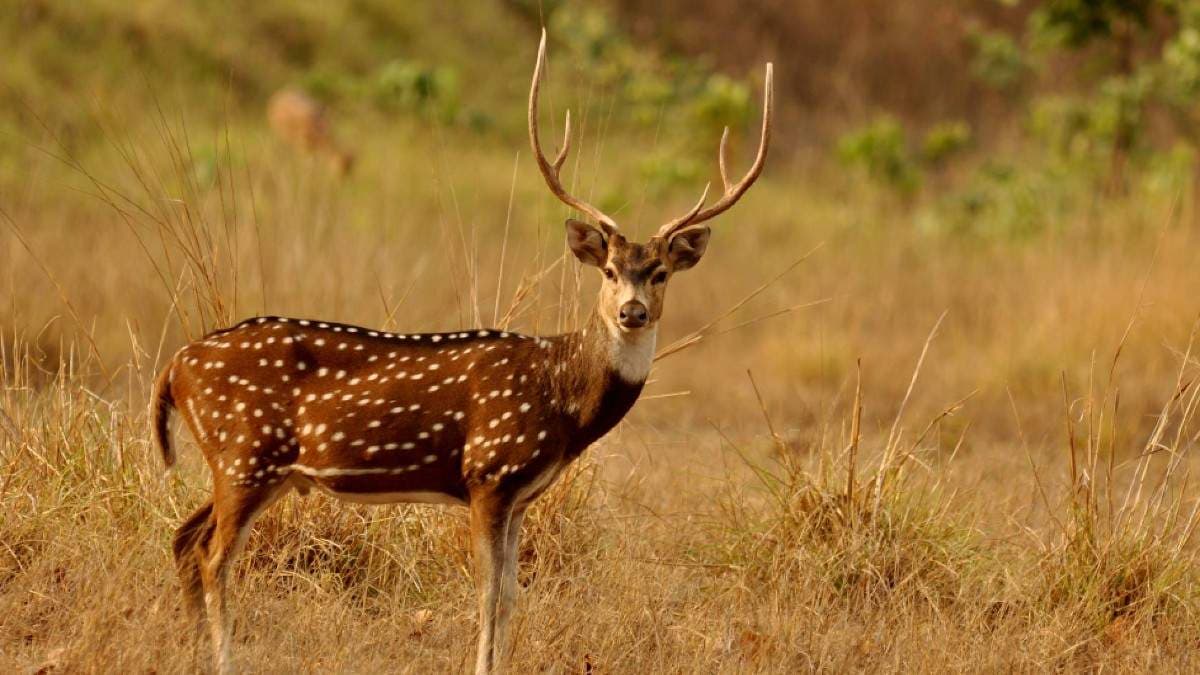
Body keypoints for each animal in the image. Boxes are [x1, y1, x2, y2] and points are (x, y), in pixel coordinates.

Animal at [152, 31, 771, 675]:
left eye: (660, 273)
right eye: (607, 271)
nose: (632, 312)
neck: (562, 398)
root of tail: (174, 367)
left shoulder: (522, 494)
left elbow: (512, 596)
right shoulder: (488, 471)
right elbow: (488, 593)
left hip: (250, 466)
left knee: (184, 538)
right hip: (245, 454)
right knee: (213, 557)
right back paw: (224, 658)